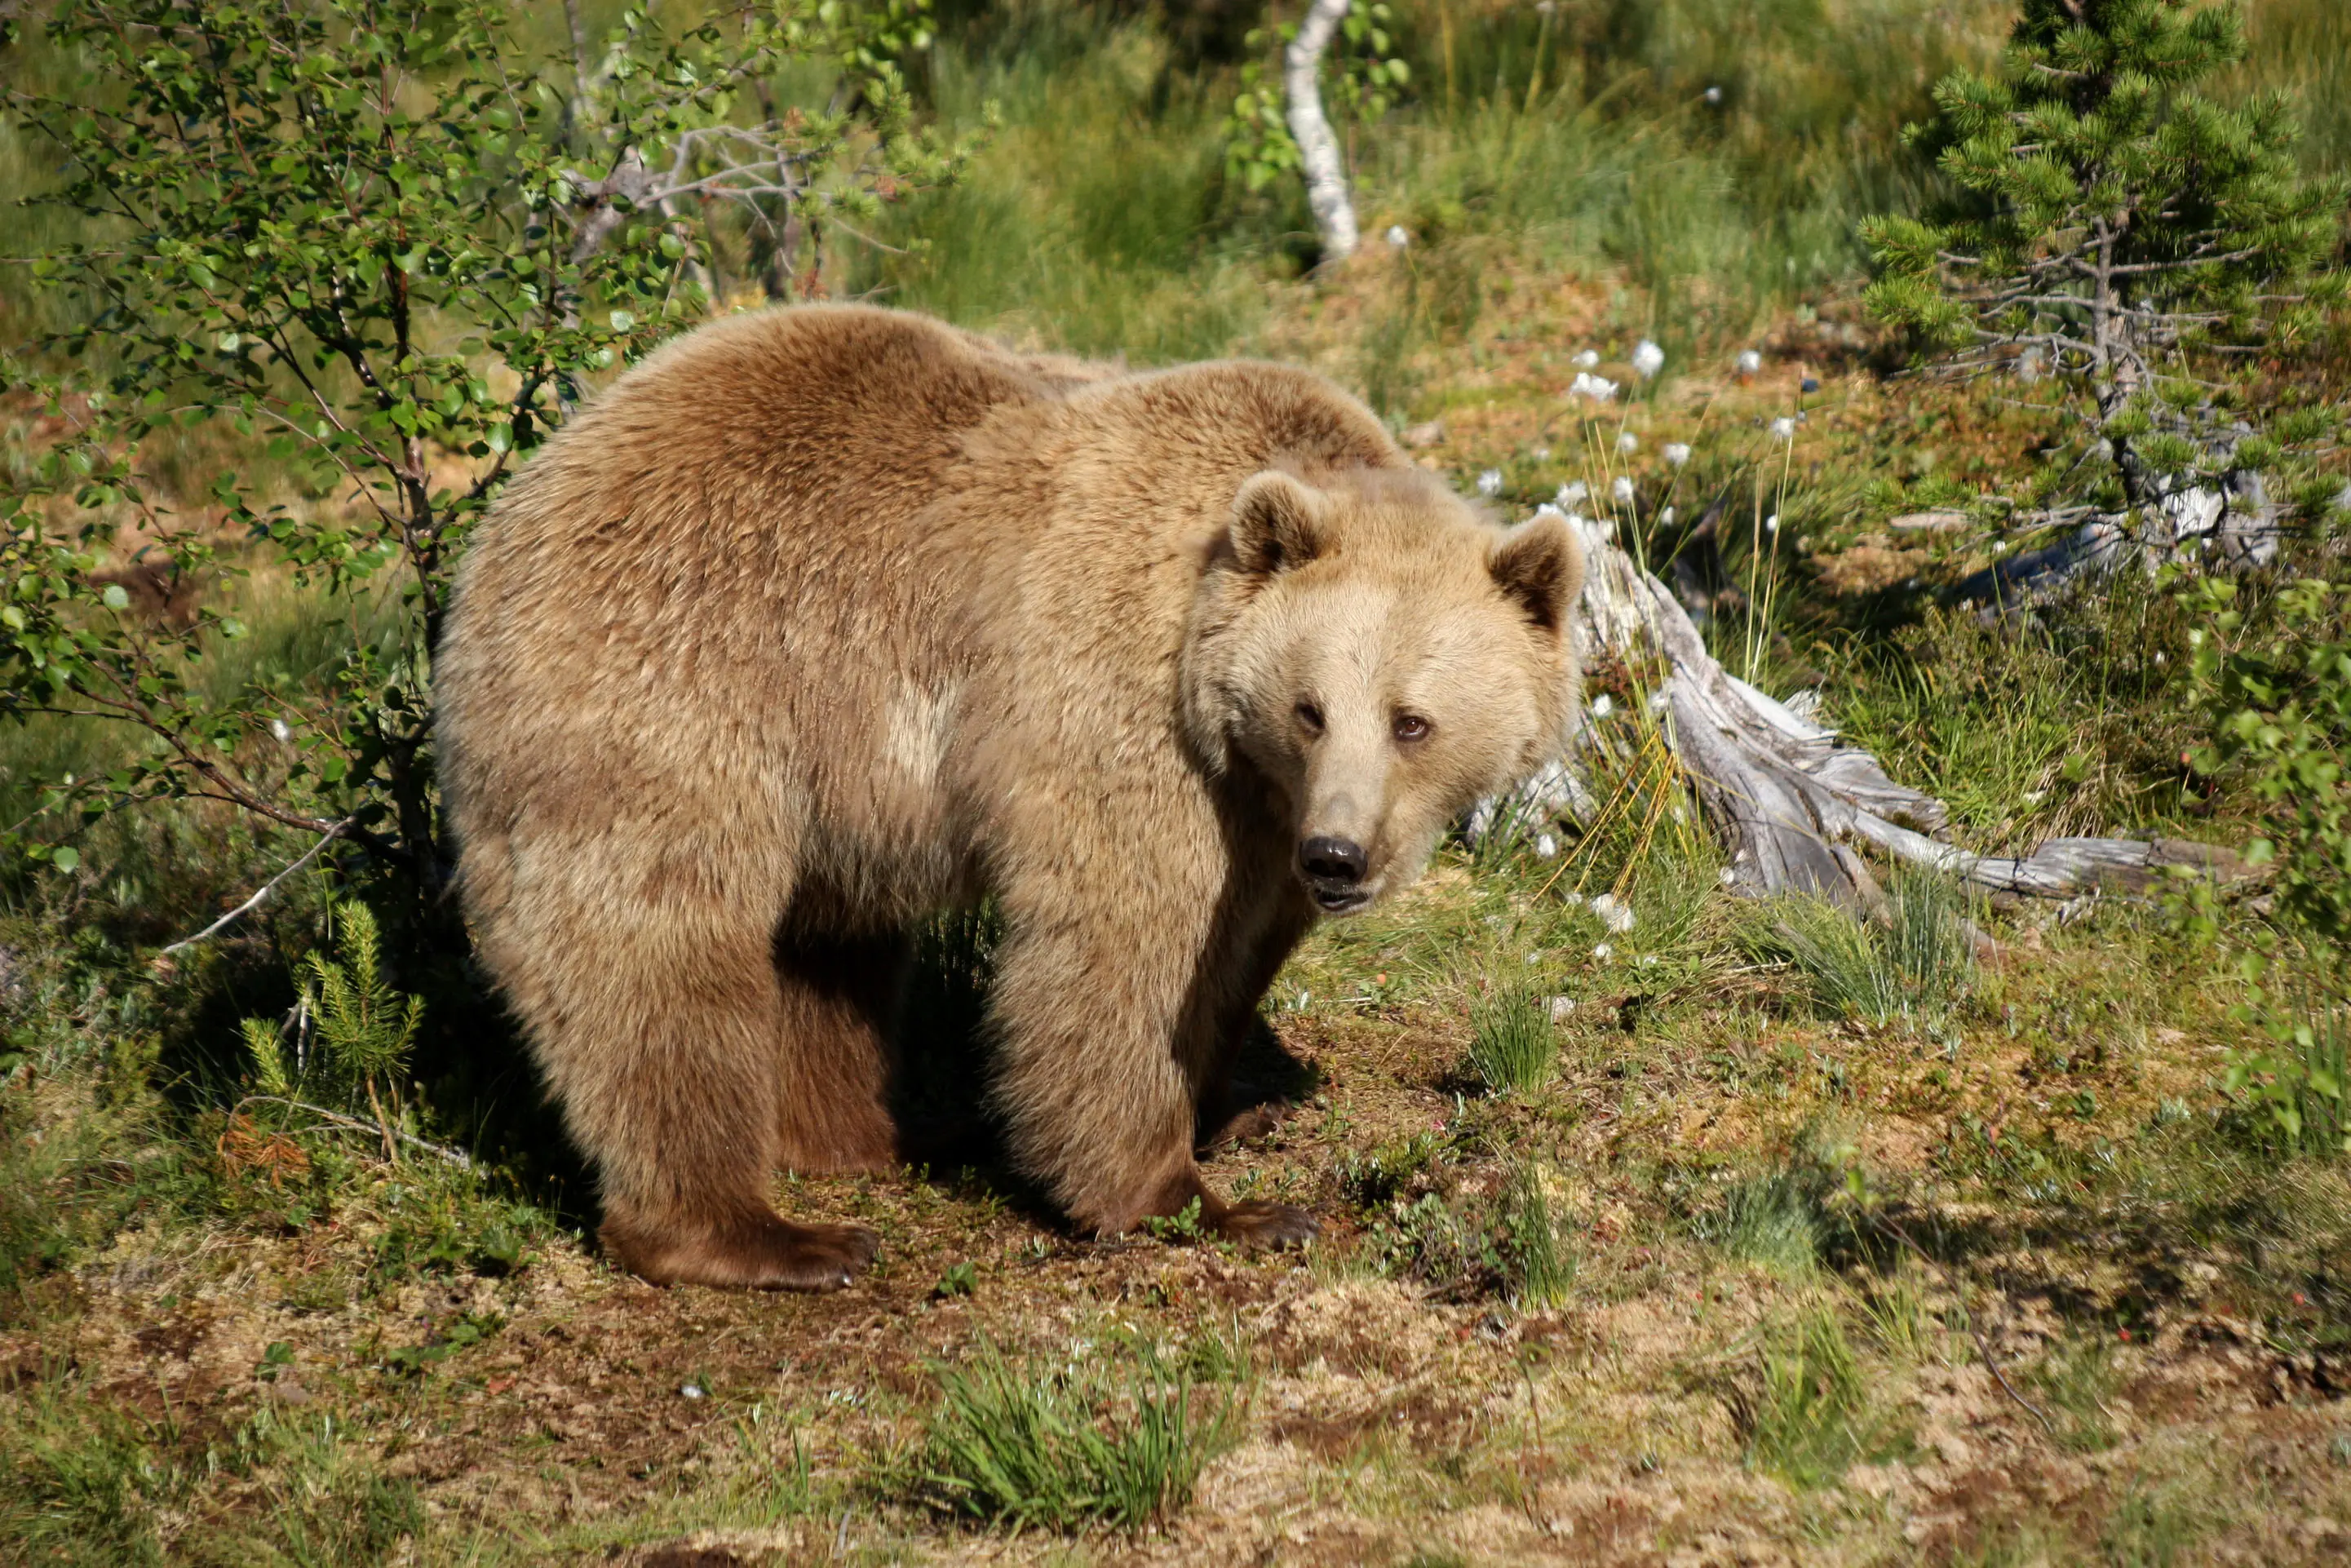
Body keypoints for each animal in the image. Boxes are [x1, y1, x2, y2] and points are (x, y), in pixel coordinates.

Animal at [439, 303, 1579, 1288]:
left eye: (1409, 720)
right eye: (1310, 708)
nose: (1336, 857)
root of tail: (520, 499)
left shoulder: (1254, 813)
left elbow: (1233, 951)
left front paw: (1232, 1107)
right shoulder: (1119, 712)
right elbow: (1119, 939)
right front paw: (1203, 1198)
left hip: (826, 774)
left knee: (827, 951)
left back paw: (873, 1136)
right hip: (674, 683)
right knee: (659, 952)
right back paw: (762, 1231)